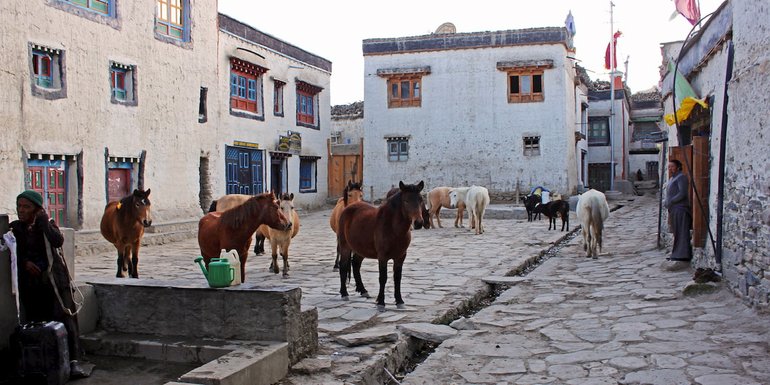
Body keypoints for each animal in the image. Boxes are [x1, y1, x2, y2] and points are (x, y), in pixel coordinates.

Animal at [336, 180, 424, 308]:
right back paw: (344, 293)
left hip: (361, 249)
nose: (418, 223)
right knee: (343, 267)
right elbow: (383, 278)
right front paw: (381, 301)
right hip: (345, 246)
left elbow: (397, 278)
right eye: (406, 201)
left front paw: (399, 300)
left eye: (420, 200)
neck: (393, 228)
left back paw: (363, 291)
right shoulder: (382, 257)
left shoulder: (400, 257)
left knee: (356, 264)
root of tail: (347, 208)